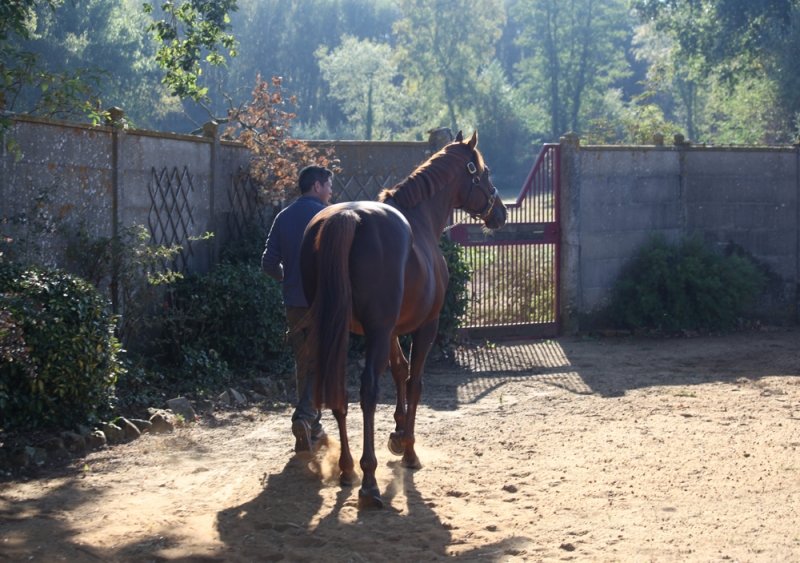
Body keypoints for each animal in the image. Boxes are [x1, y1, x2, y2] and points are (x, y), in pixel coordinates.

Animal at [299, 131, 507, 510]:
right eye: (483, 173)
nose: (500, 212)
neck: (420, 222)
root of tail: (346, 218)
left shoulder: (391, 330)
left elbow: (399, 369)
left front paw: (396, 435)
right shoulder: (423, 326)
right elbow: (414, 380)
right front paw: (408, 449)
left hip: (337, 328)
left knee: (338, 389)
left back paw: (347, 469)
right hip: (376, 333)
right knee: (367, 390)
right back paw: (368, 482)